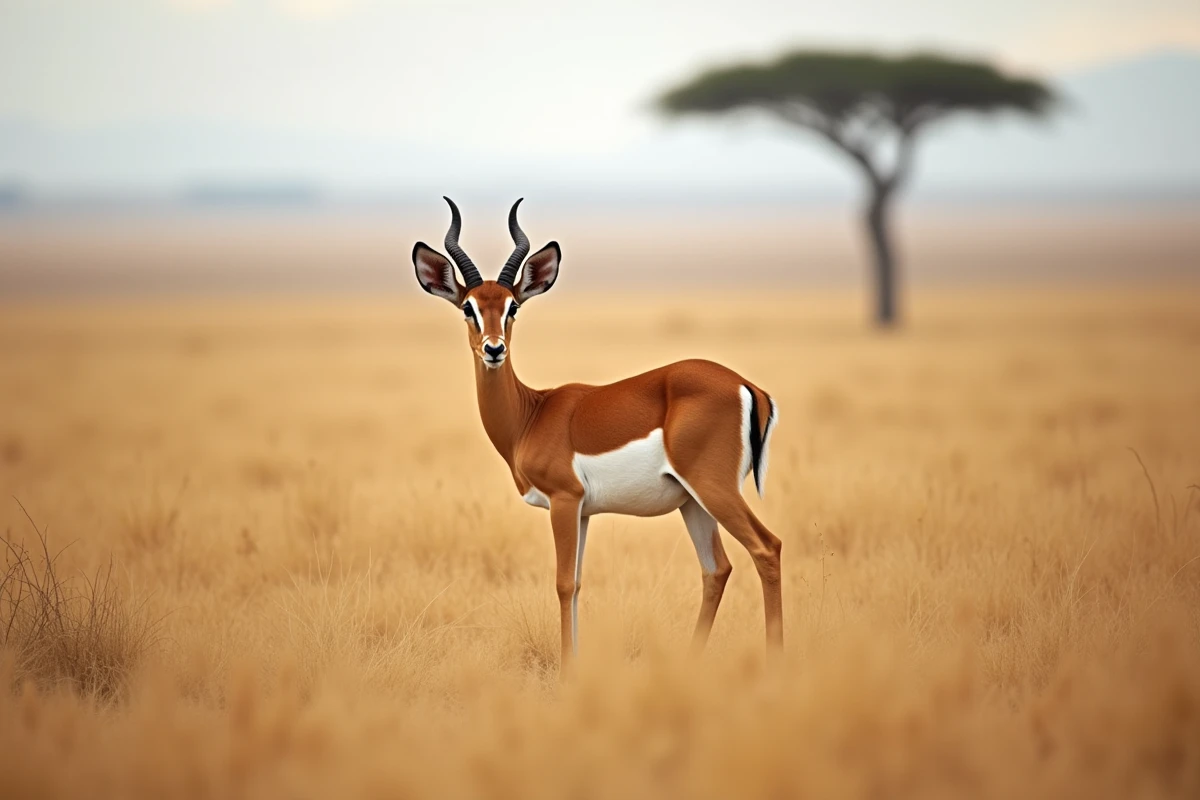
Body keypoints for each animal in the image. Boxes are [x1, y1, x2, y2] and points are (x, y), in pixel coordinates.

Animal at [413, 198, 782, 665]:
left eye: (513, 306)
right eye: (468, 307)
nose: (494, 349)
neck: (532, 414)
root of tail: (747, 386)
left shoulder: (564, 500)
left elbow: (562, 583)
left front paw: (568, 667)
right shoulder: (584, 512)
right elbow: (577, 585)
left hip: (713, 488)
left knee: (767, 548)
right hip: (692, 502)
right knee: (717, 568)